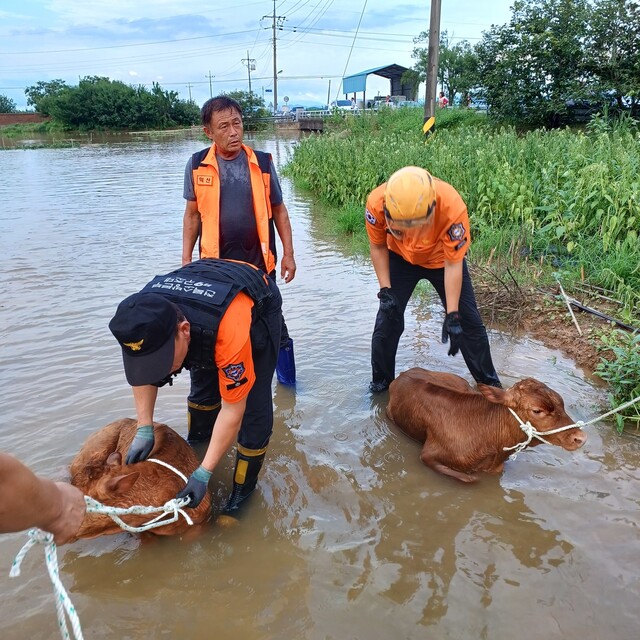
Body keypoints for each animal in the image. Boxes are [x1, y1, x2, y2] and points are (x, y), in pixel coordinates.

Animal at [382, 368, 588, 482]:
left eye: (562, 403)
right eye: (537, 411)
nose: (581, 437)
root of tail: (404, 374)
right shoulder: (428, 456)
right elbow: (470, 480)